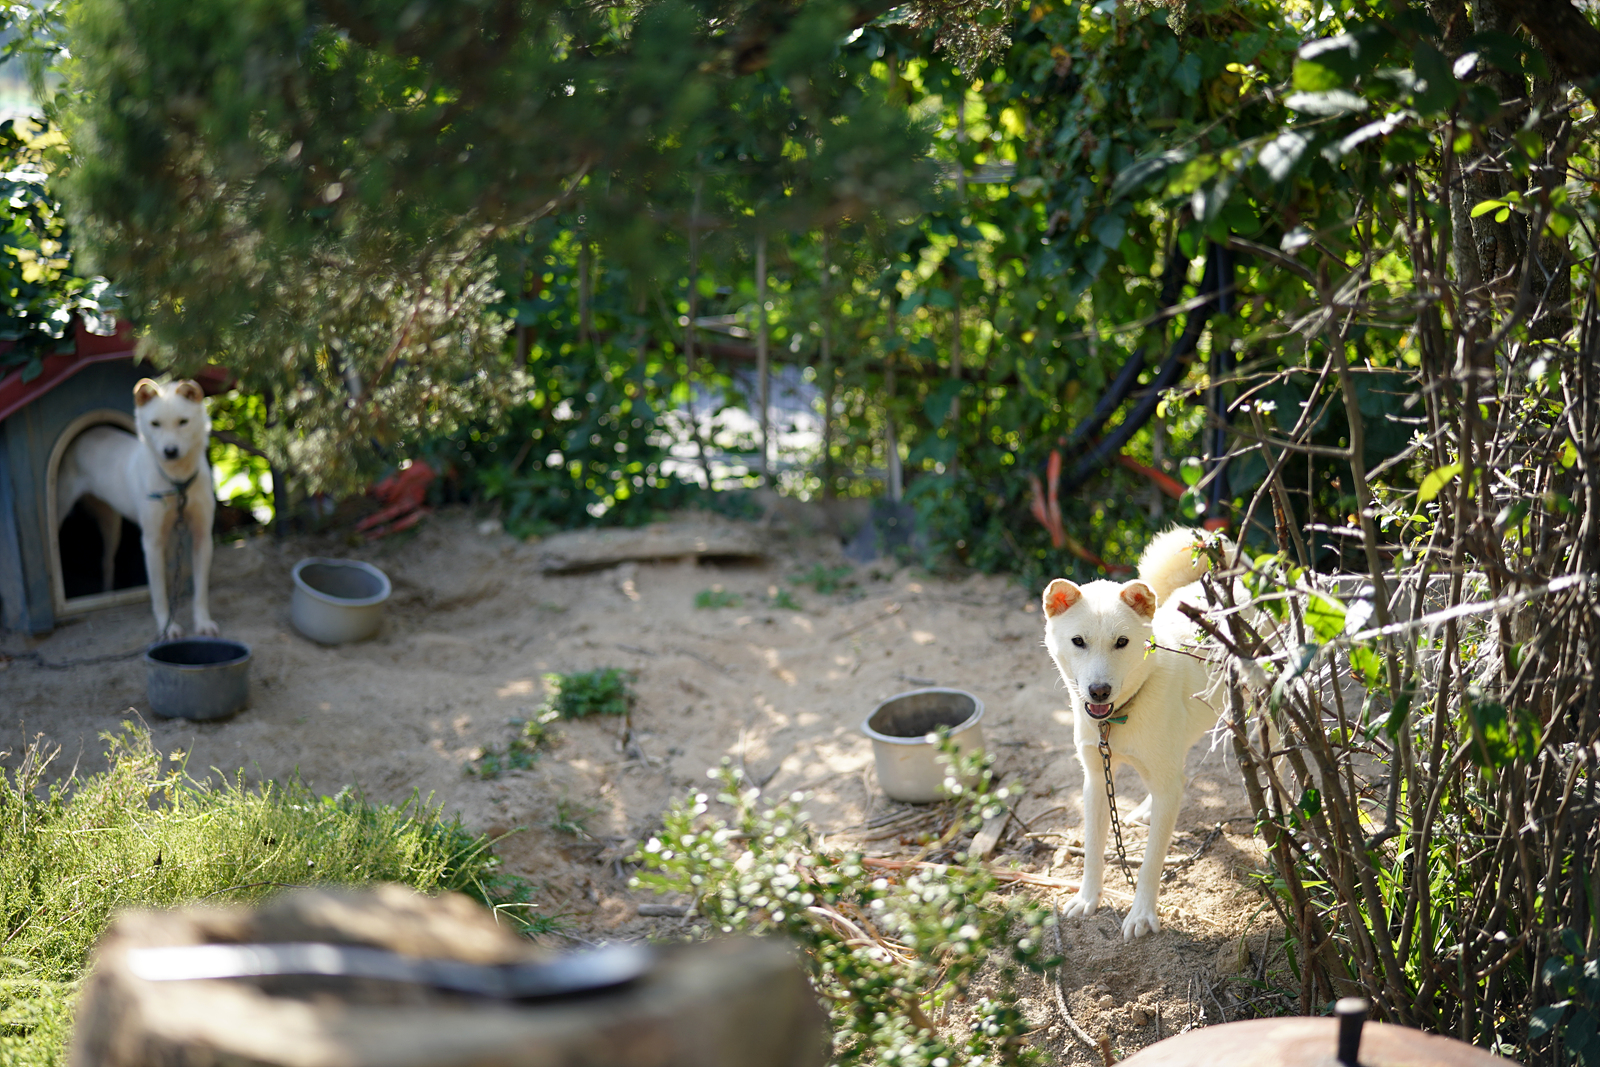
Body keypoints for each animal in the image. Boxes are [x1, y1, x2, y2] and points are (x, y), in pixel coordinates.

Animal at [56, 378, 218, 639]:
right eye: (155, 424)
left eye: (183, 422)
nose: (170, 451)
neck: (177, 482)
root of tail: (86, 432)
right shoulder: (152, 543)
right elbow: (159, 593)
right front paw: (167, 626)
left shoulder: (201, 537)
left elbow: (199, 591)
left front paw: (202, 622)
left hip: (112, 525)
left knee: (107, 563)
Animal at [1042, 527, 1231, 940]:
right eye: (1078, 641)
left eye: (1121, 642)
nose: (1098, 692)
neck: (1117, 721)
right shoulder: (1096, 780)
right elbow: (1094, 850)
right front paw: (1088, 898)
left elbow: (1150, 863)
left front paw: (1141, 914)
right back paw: (1145, 808)